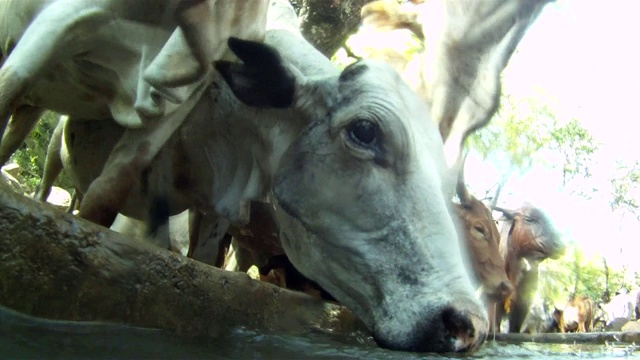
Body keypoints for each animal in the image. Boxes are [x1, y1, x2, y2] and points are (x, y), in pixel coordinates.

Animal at [32, 0, 488, 352]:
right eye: (364, 130)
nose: (468, 325)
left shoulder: (215, 212)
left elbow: (202, 262)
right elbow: (101, 203)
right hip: (51, 148)